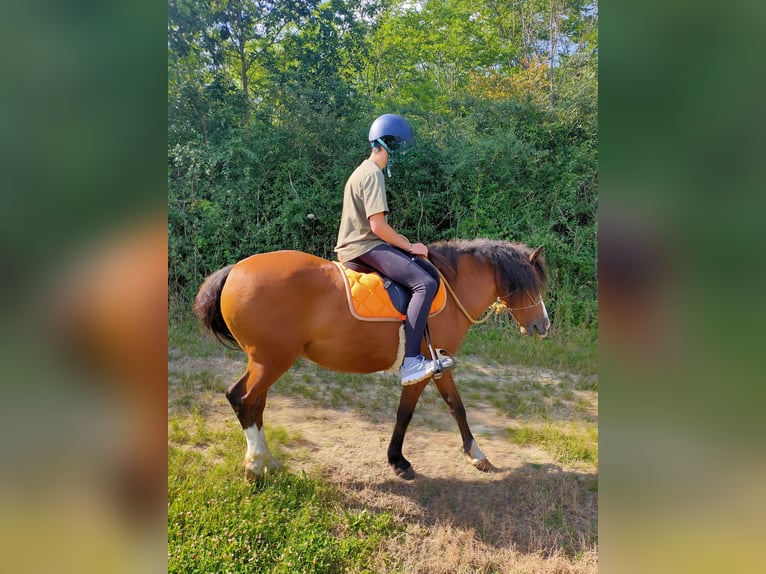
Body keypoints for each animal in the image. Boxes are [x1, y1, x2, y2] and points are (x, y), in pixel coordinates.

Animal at [195, 238, 548, 482]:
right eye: (530, 287)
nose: (543, 326)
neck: (449, 288)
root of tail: (234, 271)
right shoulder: (426, 367)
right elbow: (410, 413)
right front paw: (401, 461)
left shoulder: (440, 364)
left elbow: (454, 406)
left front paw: (474, 455)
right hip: (270, 362)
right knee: (241, 398)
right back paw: (255, 465)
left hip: (265, 363)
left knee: (256, 404)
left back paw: (267, 460)